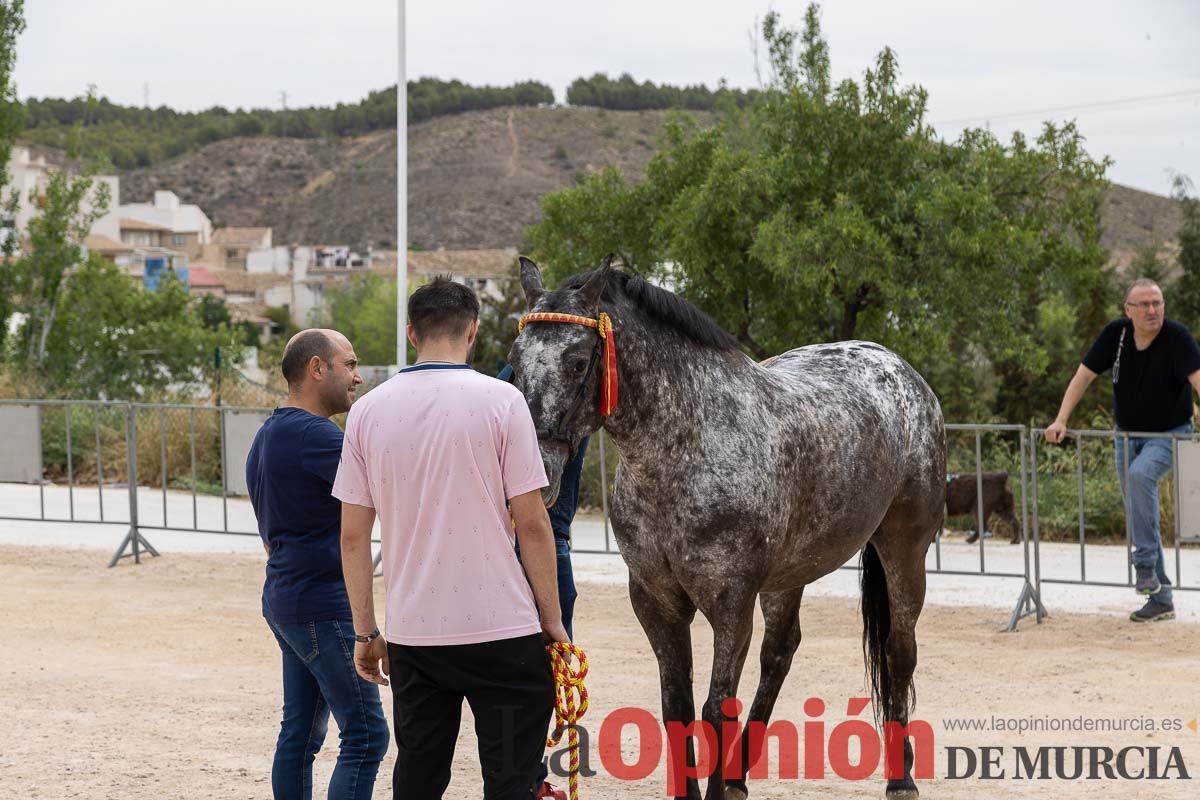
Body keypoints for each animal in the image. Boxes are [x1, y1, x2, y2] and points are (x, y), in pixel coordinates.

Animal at [513, 260, 945, 796]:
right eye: (515, 360)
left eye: (576, 361)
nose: (538, 470)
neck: (687, 447)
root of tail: (898, 368)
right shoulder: (656, 603)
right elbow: (677, 708)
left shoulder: (731, 604)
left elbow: (716, 709)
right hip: (789, 574)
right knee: (779, 653)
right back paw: (740, 774)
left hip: (904, 550)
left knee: (899, 651)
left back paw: (901, 779)